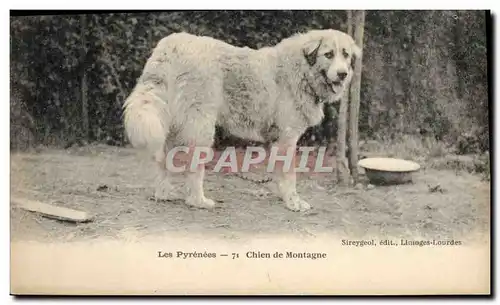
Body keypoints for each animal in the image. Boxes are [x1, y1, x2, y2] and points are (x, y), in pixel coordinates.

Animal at [123, 29, 362, 211]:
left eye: (345, 55)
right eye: (328, 54)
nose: (343, 74)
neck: (301, 70)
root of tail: (170, 45)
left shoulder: (277, 140)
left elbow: (279, 174)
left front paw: (282, 196)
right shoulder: (287, 138)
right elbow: (290, 175)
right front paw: (293, 202)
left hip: (172, 125)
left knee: (163, 159)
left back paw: (164, 193)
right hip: (201, 127)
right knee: (193, 166)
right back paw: (198, 201)